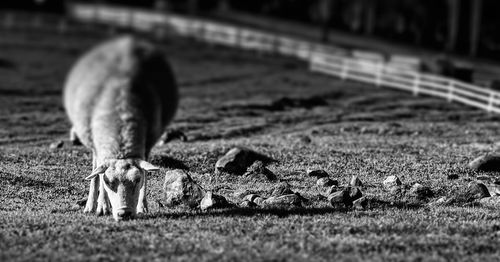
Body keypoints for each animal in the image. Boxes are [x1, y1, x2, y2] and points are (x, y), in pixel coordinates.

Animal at [63, 35, 179, 221]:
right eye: (109, 182)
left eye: (137, 180)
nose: (124, 213)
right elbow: (99, 174)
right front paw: (102, 206)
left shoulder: (148, 143)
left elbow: (146, 173)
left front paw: (142, 206)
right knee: (95, 168)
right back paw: (91, 205)